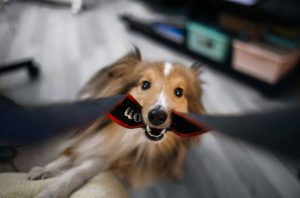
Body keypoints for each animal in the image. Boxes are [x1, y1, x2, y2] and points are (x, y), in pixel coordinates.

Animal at [27, 48, 204, 198]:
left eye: (179, 92)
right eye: (145, 84)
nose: (157, 116)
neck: (130, 134)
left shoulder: (110, 158)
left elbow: (77, 172)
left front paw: (52, 191)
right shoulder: (88, 138)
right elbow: (66, 156)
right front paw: (43, 170)